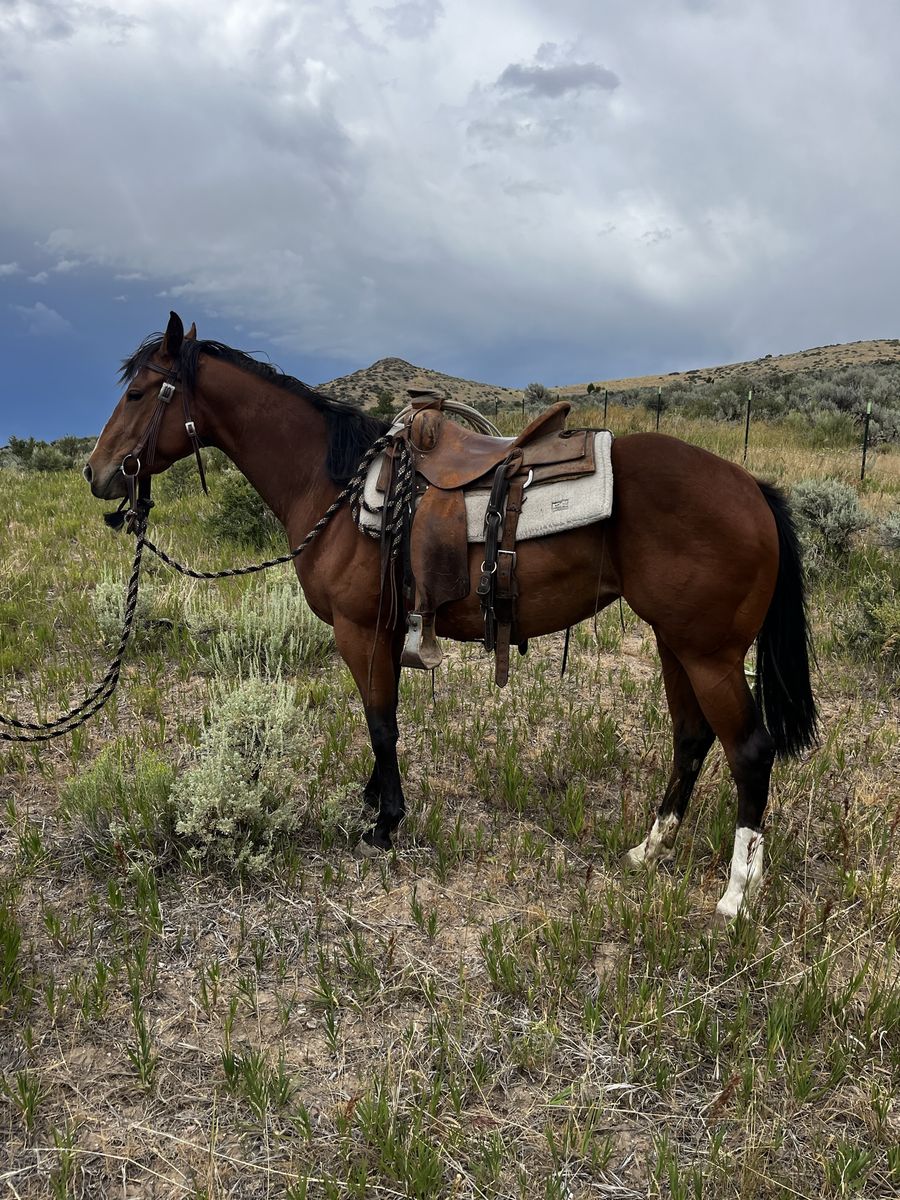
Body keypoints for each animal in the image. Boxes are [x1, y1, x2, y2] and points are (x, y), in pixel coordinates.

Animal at [84, 312, 817, 920]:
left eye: (140, 393)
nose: (97, 472)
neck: (334, 485)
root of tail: (753, 489)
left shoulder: (358, 630)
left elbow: (381, 722)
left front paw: (384, 824)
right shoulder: (383, 631)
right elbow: (382, 721)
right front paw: (374, 801)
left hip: (708, 652)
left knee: (749, 751)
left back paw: (735, 896)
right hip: (674, 642)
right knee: (691, 739)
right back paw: (648, 851)